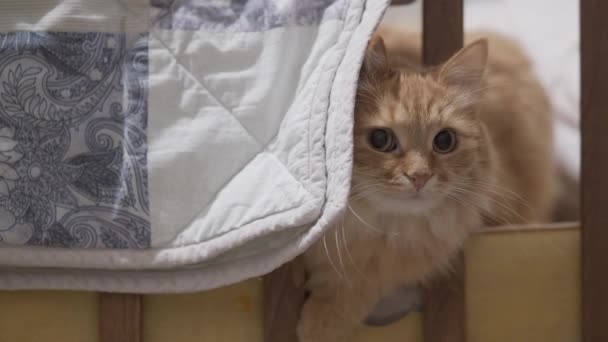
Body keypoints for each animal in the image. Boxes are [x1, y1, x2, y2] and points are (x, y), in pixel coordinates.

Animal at [296, 26, 552, 342]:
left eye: (444, 141)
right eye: (380, 139)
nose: (419, 176)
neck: (383, 228)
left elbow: (360, 283)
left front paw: (321, 324)